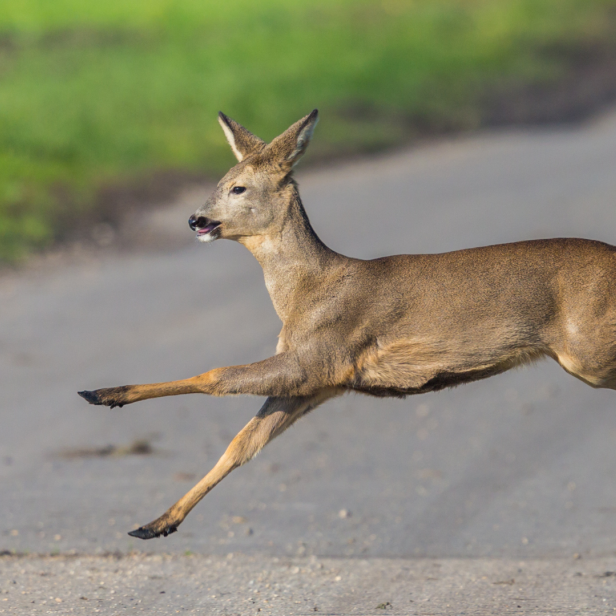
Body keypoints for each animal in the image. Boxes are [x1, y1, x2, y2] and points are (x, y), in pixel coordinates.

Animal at [79, 109, 616, 540]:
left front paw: (103, 393)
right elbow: (242, 444)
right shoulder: (318, 381)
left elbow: (216, 378)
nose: (195, 220)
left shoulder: (317, 355)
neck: (306, 291)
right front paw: (155, 523)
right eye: (219, 180)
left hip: (587, 349)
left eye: (238, 187)